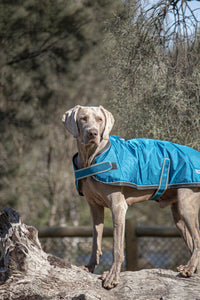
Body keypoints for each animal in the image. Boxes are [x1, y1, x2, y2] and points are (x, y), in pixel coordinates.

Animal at [62, 105, 200, 288]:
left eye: (100, 119)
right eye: (83, 118)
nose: (93, 133)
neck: (92, 158)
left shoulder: (118, 207)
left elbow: (117, 247)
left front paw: (112, 277)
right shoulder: (94, 207)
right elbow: (95, 240)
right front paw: (90, 267)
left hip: (187, 204)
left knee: (197, 241)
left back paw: (189, 269)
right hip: (178, 215)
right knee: (192, 242)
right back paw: (190, 269)